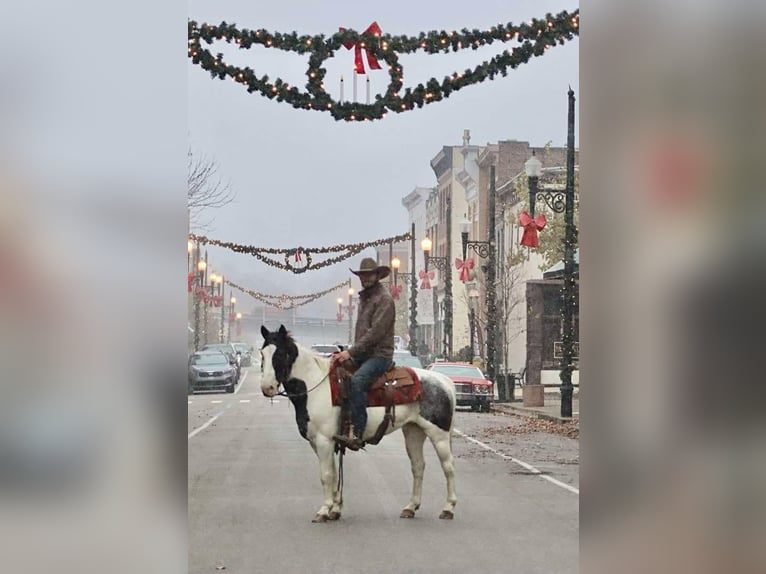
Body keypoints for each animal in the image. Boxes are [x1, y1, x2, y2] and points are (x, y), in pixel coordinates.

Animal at [260, 326, 460, 524]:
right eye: (262, 354)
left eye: (280, 354)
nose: (267, 388)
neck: (316, 388)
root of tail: (445, 381)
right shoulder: (318, 442)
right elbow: (334, 473)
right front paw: (335, 509)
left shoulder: (324, 440)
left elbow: (326, 475)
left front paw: (324, 510)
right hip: (414, 431)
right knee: (418, 466)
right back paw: (411, 507)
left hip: (439, 434)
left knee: (448, 467)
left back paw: (448, 508)